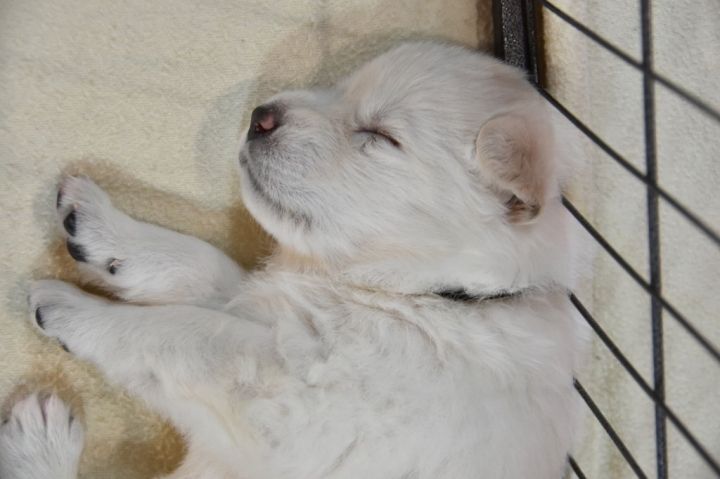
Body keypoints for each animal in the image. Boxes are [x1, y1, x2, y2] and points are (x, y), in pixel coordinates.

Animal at [0, 42, 588, 479]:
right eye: (339, 88)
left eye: (379, 135)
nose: (261, 115)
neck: (446, 295)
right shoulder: (276, 303)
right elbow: (206, 269)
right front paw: (107, 233)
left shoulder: (292, 402)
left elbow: (179, 332)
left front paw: (79, 312)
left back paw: (40, 443)